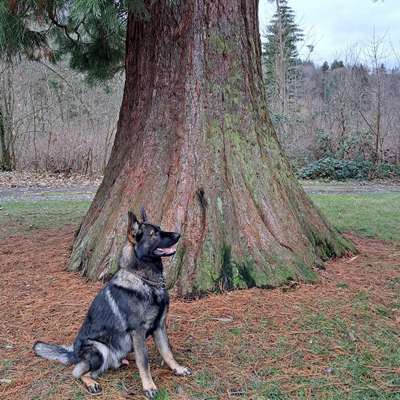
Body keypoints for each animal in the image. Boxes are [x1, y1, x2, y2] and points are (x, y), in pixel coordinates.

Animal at [32, 209, 192, 396]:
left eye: (160, 229)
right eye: (153, 234)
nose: (178, 234)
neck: (145, 281)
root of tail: (74, 353)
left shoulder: (159, 326)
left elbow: (167, 352)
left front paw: (177, 369)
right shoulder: (138, 332)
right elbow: (144, 362)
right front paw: (149, 386)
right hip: (99, 349)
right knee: (79, 372)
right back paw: (91, 383)